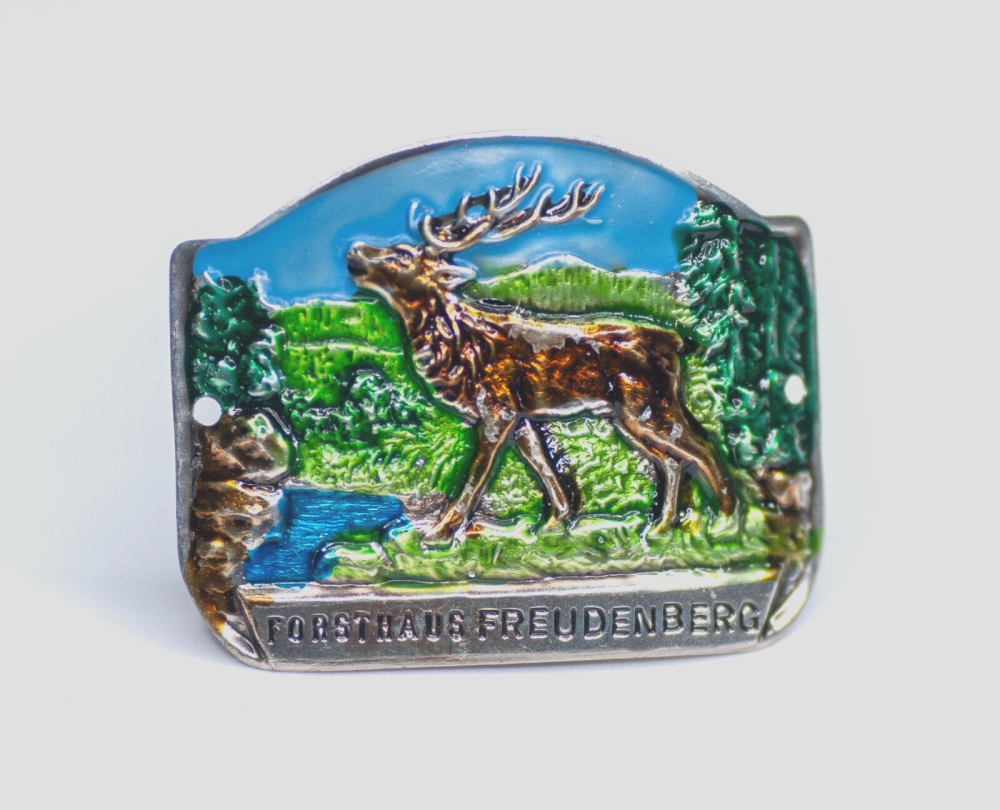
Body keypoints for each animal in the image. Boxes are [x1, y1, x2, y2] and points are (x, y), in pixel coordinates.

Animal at [346, 165, 735, 546]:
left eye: (402, 255)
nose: (355, 252)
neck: (457, 345)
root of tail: (676, 340)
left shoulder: (498, 409)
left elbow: (476, 477)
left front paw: (439, 532)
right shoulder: (521, 416)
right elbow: (541, 463)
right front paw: (554, 522)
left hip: (649, 405)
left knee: (703, 448)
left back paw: (726, 523)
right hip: (627, 416)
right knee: (671, 462)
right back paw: (659, 527)